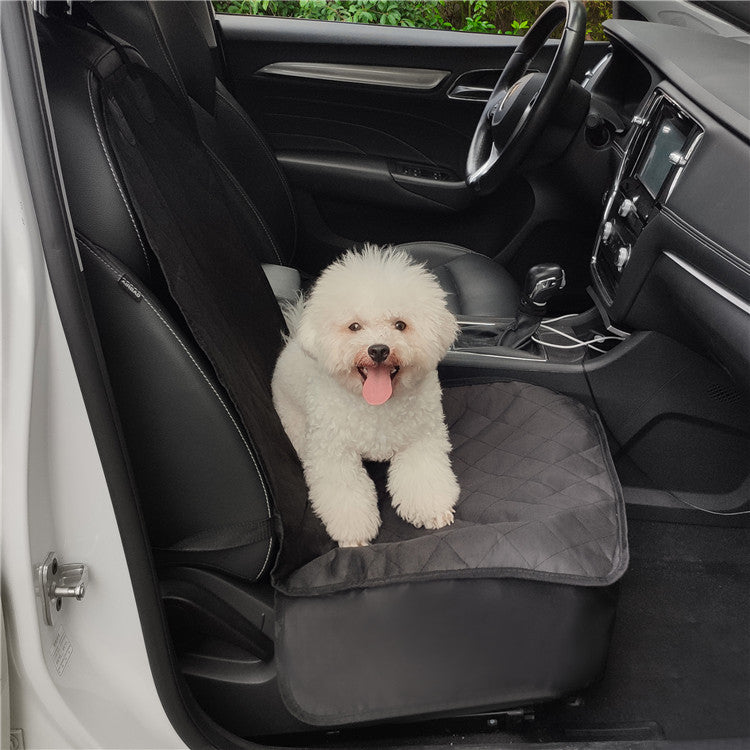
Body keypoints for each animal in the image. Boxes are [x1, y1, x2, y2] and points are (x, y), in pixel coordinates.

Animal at [274, 247, 462, 548]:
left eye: (400, 324)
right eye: (354, 326)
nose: (378, 350)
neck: (376, 405)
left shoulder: (420, 439)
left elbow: (423, 474)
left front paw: (432, 509)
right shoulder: (334, 453)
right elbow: (346, 492)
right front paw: (354, 534)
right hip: (294, 423)